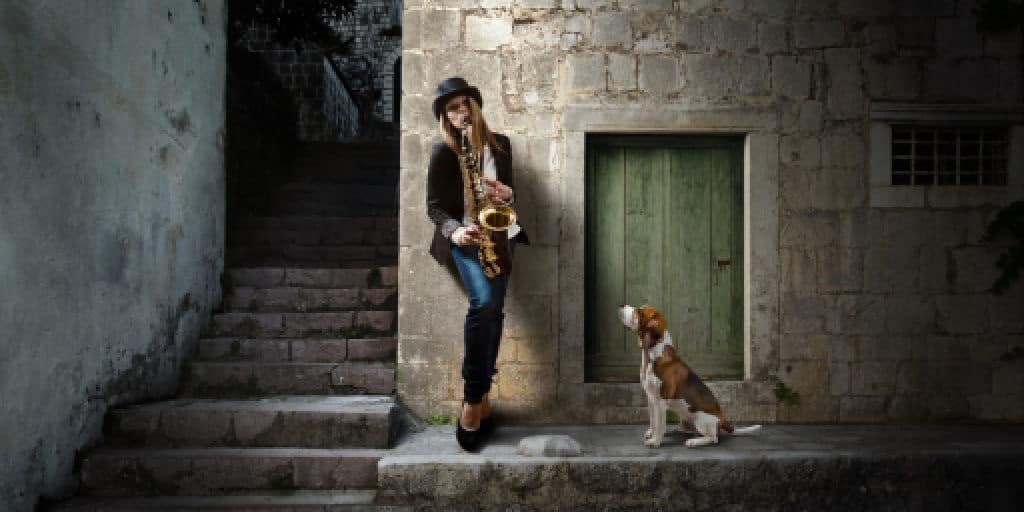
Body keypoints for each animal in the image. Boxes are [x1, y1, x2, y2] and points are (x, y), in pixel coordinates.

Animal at [614, 303, 761, 448]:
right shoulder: (651, 398)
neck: (652, 355)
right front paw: (652, 434)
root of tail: (722, 420)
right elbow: (653, 422)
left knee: (714, 439)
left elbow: (659, 425)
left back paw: (694, 441)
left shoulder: (660, 402)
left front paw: (655, 442)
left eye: (639, 312)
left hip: (700, 419)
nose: (621, 305)